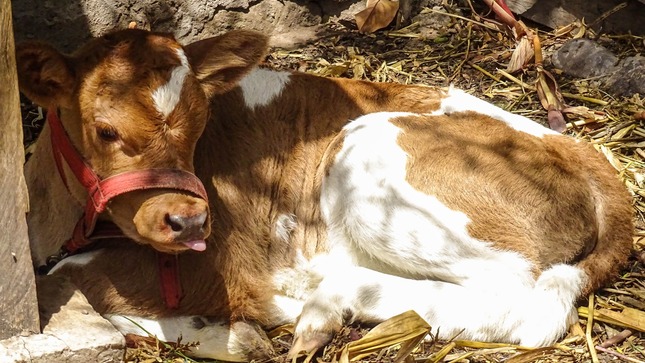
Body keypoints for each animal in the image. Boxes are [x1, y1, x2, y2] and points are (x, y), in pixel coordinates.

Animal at [17, 28, 632, 362]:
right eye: (105, 131)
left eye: (199, 127)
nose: (190, 221)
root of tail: (583, 149)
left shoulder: (216, 264)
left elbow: (72, 282)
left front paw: (233, 332)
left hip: (369, 151)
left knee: (526, 303)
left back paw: (322, 305)